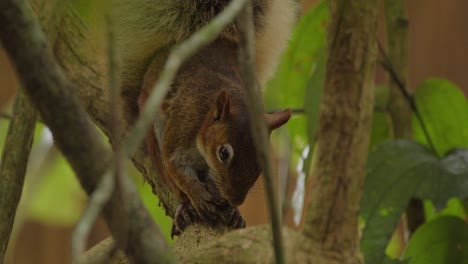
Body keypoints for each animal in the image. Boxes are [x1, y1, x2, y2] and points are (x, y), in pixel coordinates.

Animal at [116, 0, 298, 235]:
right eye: (223, 153)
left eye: (263, 158)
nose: (235, 200)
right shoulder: (182, 126)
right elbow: (175, 166)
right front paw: (198, 195)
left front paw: (231, 209)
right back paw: (185, 206)